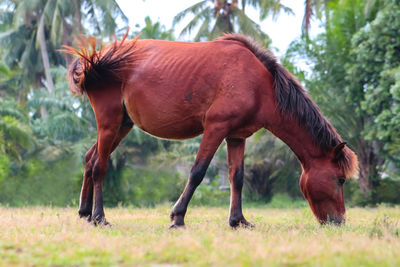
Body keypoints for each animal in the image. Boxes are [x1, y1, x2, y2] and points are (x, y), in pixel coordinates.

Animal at [63, 31, 360, 228]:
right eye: (340, 179)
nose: (339, 221)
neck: (258, 84)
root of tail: (96, 60)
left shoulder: (237, 136)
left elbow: (237, 177)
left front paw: (238, 220)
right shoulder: (215, 128)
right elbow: (197, 172)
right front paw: (178, 217)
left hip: (122, 125)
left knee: (90, 159)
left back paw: (84, 212)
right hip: (109, 122)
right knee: (100, 165)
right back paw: (99, 217)